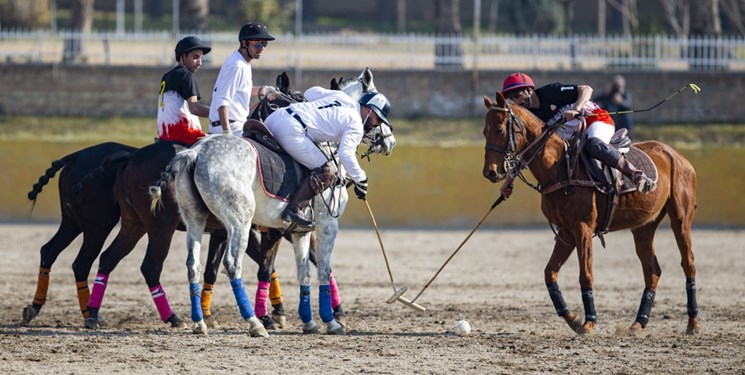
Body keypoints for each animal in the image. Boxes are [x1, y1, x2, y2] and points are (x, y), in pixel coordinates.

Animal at [480, 93, 700, 334]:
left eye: (499, 129)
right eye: (484, 131)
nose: (491, 172)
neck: (558, 168)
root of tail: (678, 156)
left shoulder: (583, 227)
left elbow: (585, 275)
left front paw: (589, 321)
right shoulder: (565, 232)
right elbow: (550, 272)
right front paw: (572, 318)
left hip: (680, 218)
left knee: (688, 263)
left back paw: (693, 322)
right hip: (643, 226)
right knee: (652, 271)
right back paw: (638, 323)